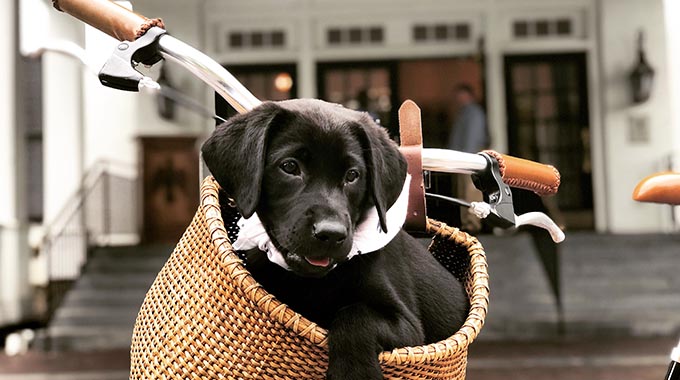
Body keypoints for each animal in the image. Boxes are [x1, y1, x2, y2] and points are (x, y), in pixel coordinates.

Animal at [202, 98, 468, 380]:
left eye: (352, 175)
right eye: (290, 167)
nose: (331, 234)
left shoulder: (410, 327)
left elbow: (355, 314)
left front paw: (355, 373)